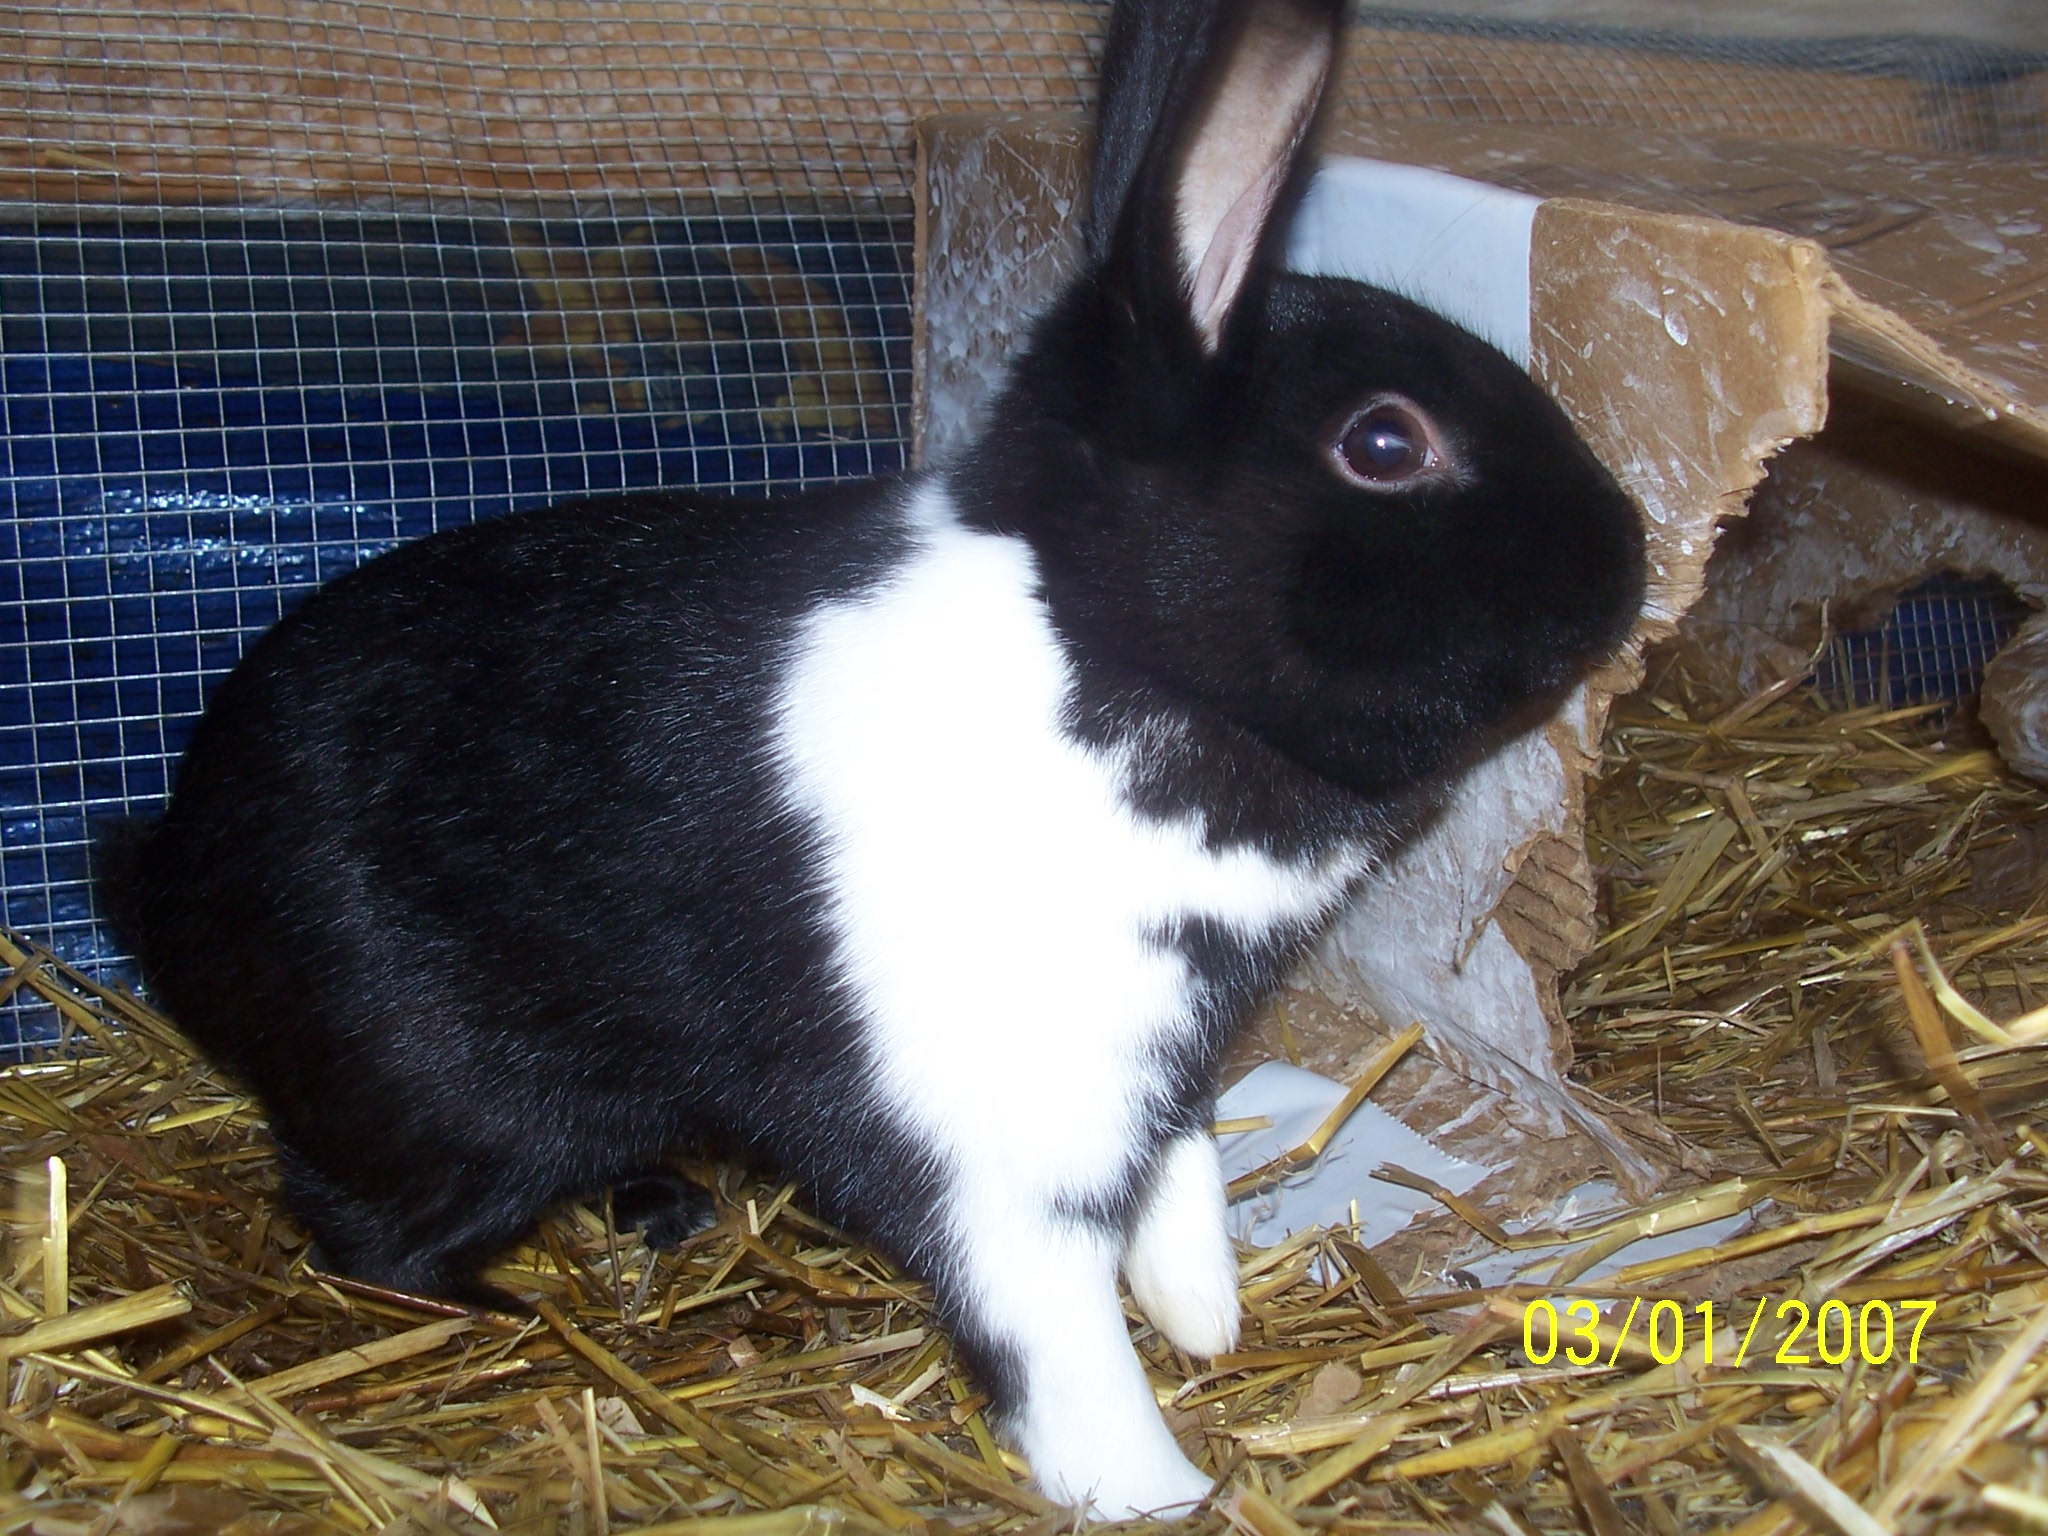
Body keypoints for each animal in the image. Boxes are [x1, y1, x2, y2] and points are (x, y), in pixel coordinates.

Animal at [98, 0, 1644, 1515]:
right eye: (1384, 442)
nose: (1624, 556)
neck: (1103, 649)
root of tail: (160, 872)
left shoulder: (1156, 1069)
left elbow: (1181, 1185)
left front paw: (1205, 1320)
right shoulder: (1006, 1142)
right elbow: (1062, 1351)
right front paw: (1161, 1489)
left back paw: (666, 1210)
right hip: (457, 1101)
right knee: (360, 1236)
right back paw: (521, 1319)